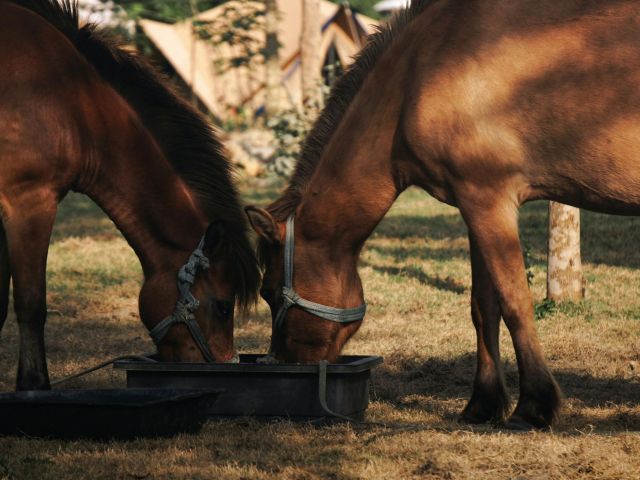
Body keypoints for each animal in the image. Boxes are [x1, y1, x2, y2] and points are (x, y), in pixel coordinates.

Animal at [0, 0, 260, 390]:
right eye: (223, 307)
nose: (220, 366)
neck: (75, 105)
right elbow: (31, 305)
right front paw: (34, 384)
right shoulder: (30, 203)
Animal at [246, 0, 640, 429]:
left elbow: (515, 302)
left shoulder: (489, 200)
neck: (418, 75)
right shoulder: (473, 207)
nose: (286, 363)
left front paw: (534, 405)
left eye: (268, 292)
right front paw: (483, 404)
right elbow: (484, 307)